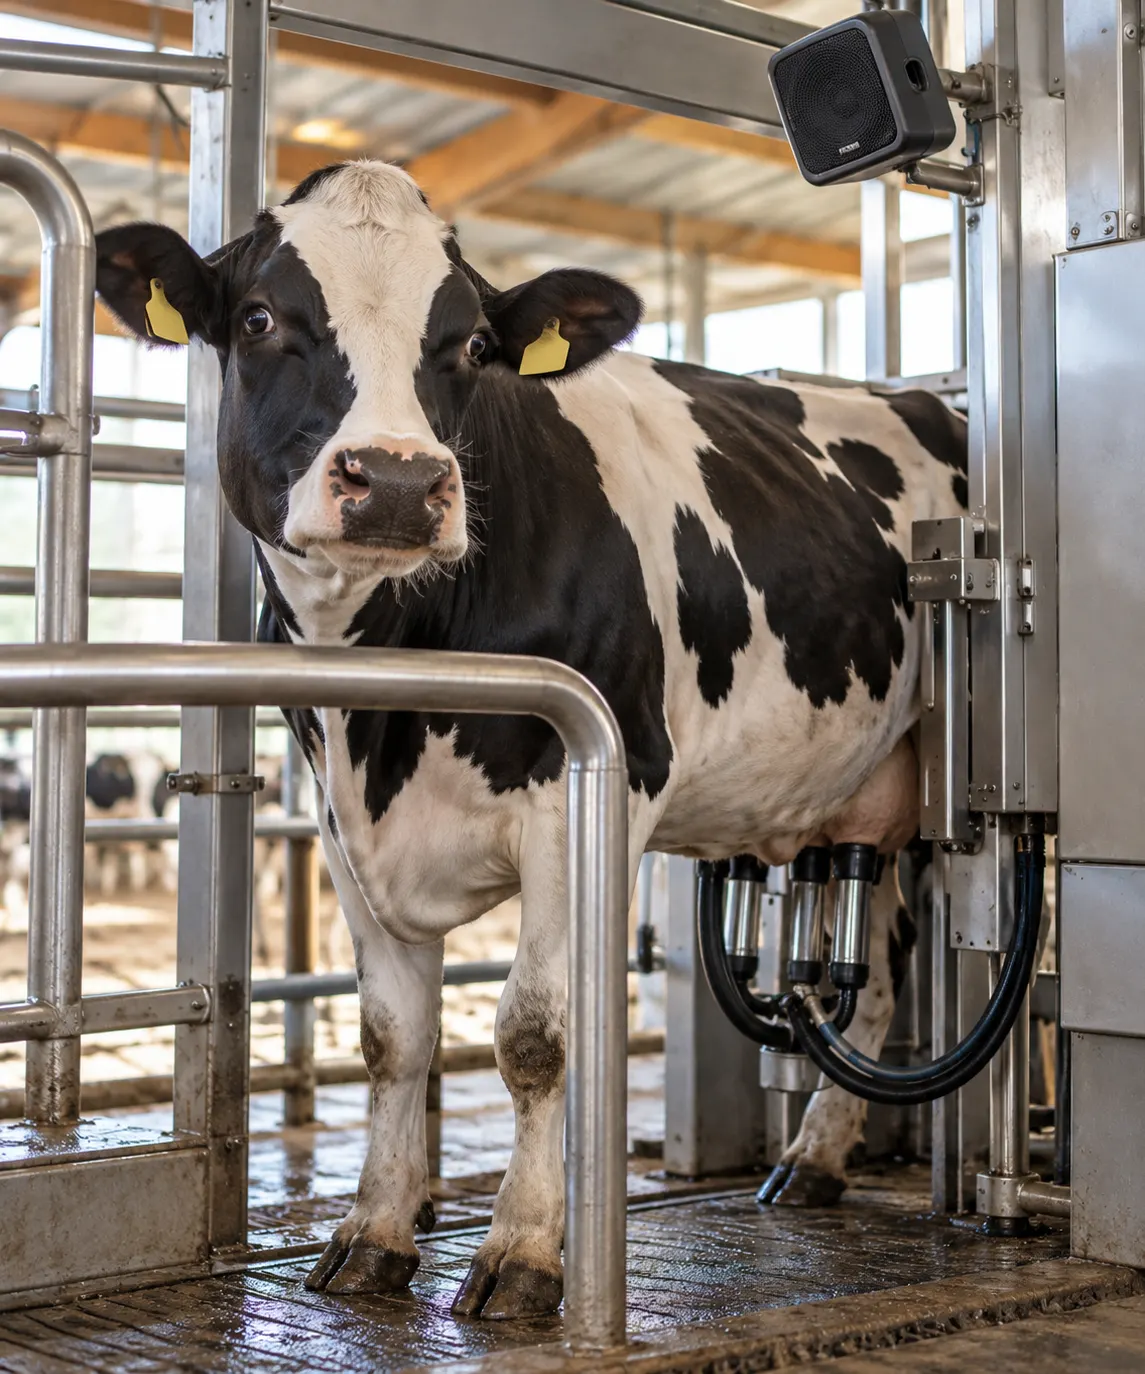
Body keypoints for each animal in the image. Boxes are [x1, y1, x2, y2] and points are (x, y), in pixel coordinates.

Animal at [94, 159, 967, 1321]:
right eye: (260, 317)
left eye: (470, 343)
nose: (400, 480)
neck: (393, 688)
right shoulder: (340, 822)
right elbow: (391, 1039)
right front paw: (374, 1233)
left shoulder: (588, 787)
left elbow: (535, 1034)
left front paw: (524, 1251)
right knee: (879, 963)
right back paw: (814, 1160)